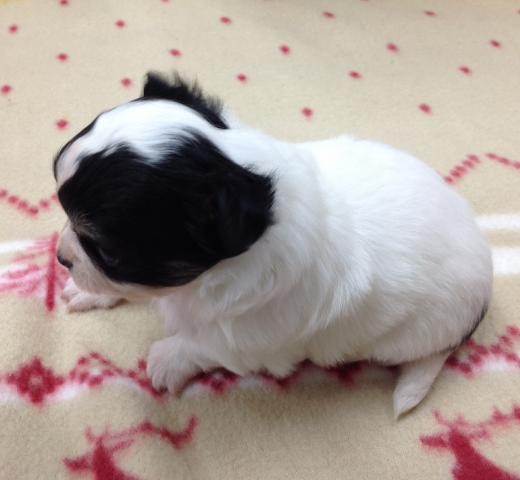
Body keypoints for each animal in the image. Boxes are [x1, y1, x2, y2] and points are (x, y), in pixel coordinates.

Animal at [54, 72, 492, 417]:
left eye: (106, 251)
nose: (61, 258)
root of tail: (486, 285)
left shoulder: (251, 338)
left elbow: (200, 343)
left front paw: (166, 360)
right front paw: (86, 291)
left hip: (414, 335)